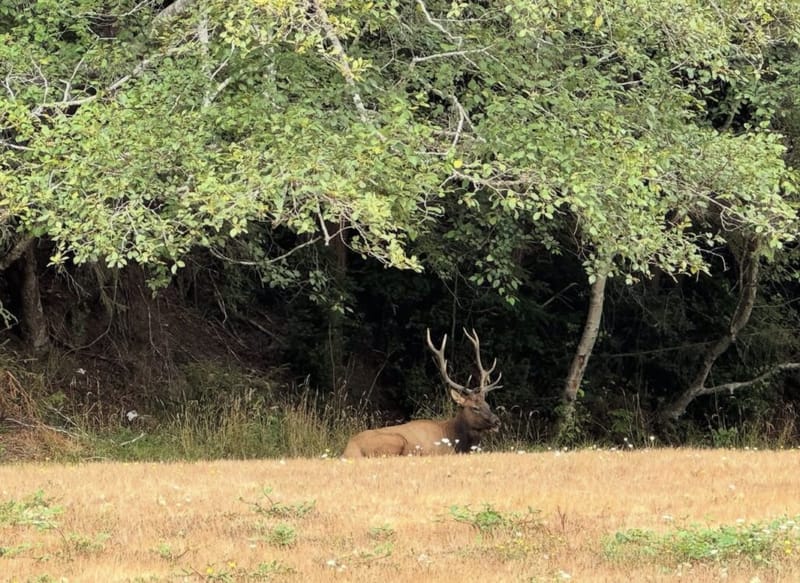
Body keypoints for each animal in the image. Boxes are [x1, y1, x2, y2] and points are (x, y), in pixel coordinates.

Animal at [342, 328, 502, 458]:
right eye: (475, 408)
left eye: (487, 405)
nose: (496, 421)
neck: (455, 440)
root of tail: (348, 450)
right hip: (395, 440)